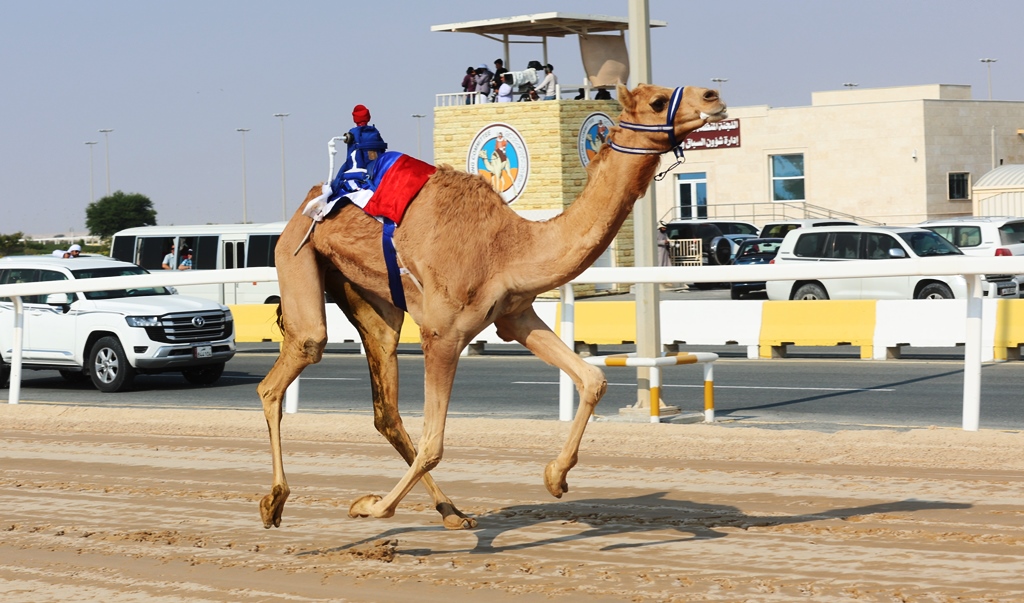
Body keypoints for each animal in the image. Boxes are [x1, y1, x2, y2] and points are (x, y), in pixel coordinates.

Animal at [257, 83, 727, 531]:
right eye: (657, 101)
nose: (713, 96)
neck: (510, 246)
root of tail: (307, 202)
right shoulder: (443, 333)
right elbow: (434, 443)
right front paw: (369, 507)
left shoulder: (514, 315)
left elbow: (592, 379)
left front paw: (556, 477)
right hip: (296, 254)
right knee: (293, 361)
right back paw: (274, 501)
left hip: (369, 298)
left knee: (385, 401)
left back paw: (452, 512)